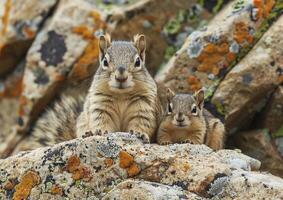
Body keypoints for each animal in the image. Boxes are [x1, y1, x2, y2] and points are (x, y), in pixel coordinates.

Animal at [13, 34, 161, 153]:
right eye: (105, 61)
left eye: (138, 61)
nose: (121, 77)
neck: (121, 95)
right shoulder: (100, 105)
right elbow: (101, 119)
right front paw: (100, 131)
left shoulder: (143, 107)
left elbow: (140, 122)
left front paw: (139, 133)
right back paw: (88, 134)